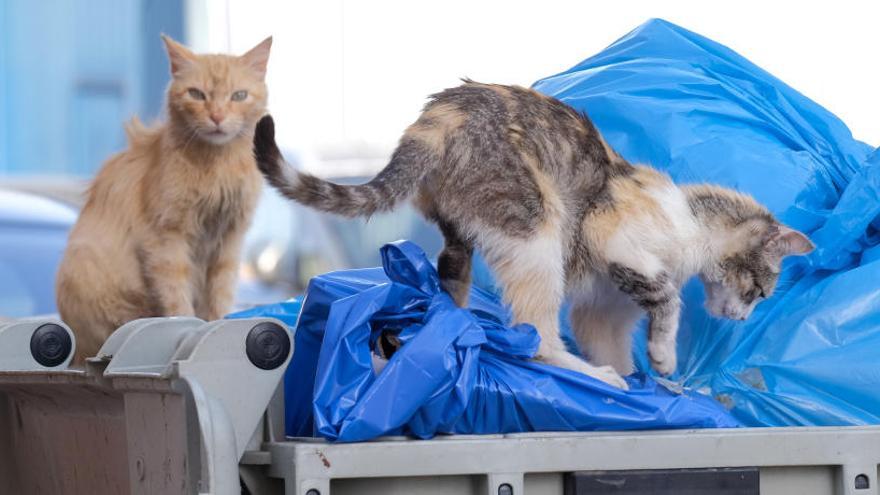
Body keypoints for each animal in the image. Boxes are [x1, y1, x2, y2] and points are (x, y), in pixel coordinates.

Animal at [58, 34, 272, 360]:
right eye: (197, 94)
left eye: (239, 96)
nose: (217, 116)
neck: (217, 167)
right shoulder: (166, 240)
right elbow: (177, 299)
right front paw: (187, 327)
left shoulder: (229, 241)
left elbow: (220, 295)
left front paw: (217, 324)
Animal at [251, 82, 816, 392]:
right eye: (759, 291)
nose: (741, 318)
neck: (690, 220)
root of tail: (436, 116)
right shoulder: (610, 234)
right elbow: (668, 298)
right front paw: (663, 358)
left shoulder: (603, 312)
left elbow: (616, 337)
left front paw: (645, 379)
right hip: (538, 227)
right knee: (537, 335)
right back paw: (592, 376)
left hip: (461, 238)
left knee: (454, 284)